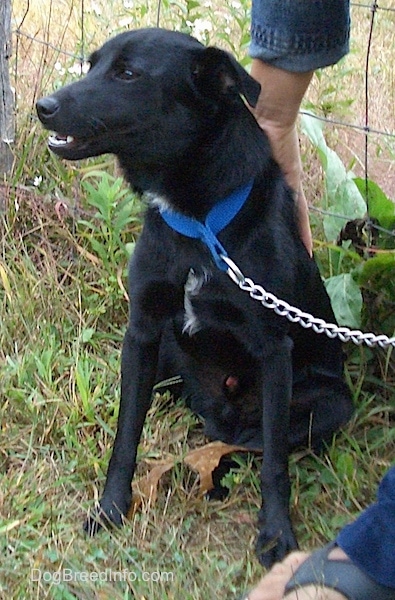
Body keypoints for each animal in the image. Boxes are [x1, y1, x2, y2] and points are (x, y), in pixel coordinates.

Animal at [36, 27, 352, 568]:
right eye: (92, 65)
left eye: (128, 74)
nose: (43, 106)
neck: (198, 224)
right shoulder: (142, 335)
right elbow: (126, 435)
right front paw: (111, 508)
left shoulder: (275, 351)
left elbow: (274, 463)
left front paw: (276, 534)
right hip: (167, 361)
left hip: (328, 406)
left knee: (252, 442)